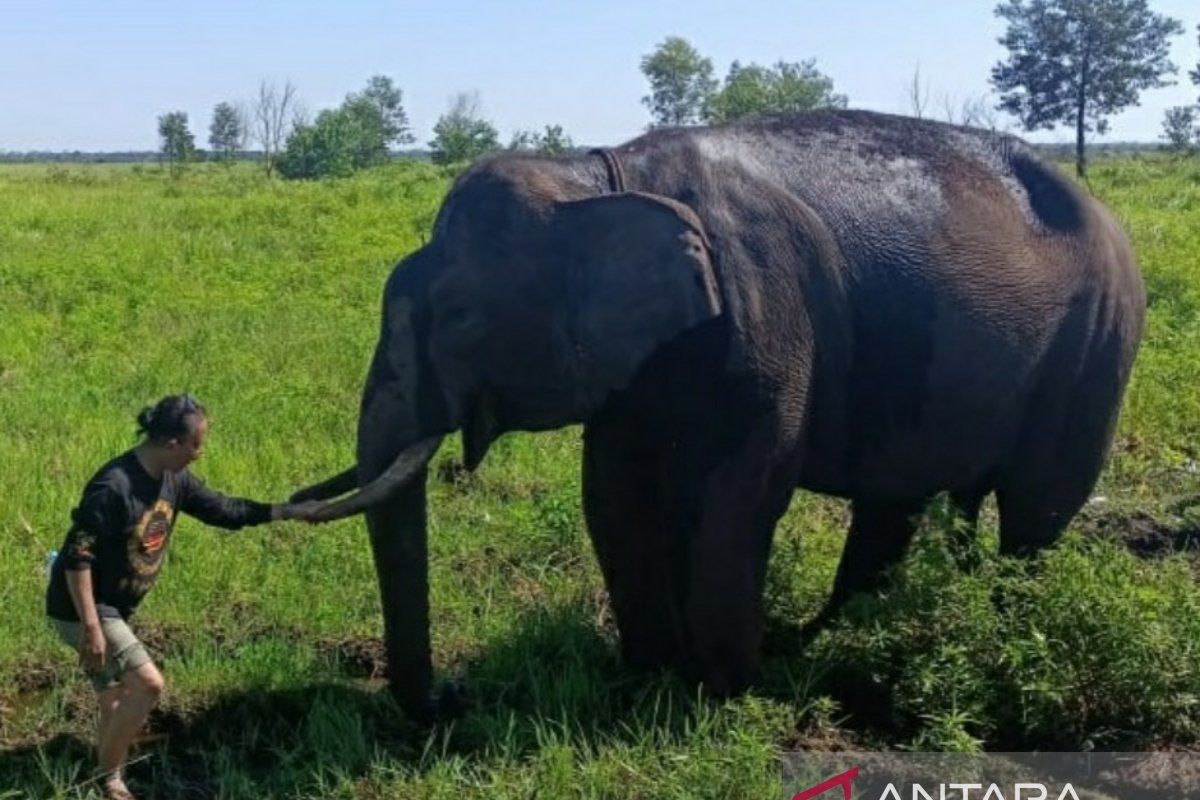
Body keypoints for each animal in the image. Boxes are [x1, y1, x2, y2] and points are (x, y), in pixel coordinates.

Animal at [290, 110, 1142, 719]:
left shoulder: (767, 308)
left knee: (1035, 511)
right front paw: (646, 679)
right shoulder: (634, 364)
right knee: (895, 504)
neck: (598, 174)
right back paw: (828, 642)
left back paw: (990, 637)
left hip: (1098, 346)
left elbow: (741, 491)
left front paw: (722, 694)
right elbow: (615, 493)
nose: (453, 697)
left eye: (460, 317)